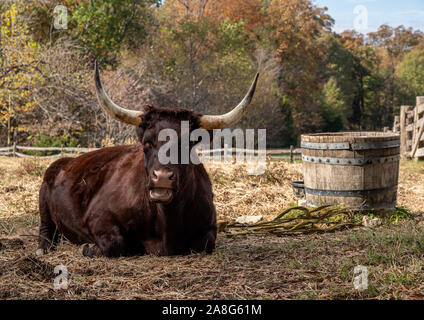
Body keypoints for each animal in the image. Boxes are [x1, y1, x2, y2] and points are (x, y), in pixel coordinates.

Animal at [38, 61, 258, 258]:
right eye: (146, 143)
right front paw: (87, 248)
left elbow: (205, 243)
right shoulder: (98, 217)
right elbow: (114, 243)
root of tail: (64, 161)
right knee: (46, 231)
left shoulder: (209, 227)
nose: (162, 177)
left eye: (187, 144)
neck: (166, 225)